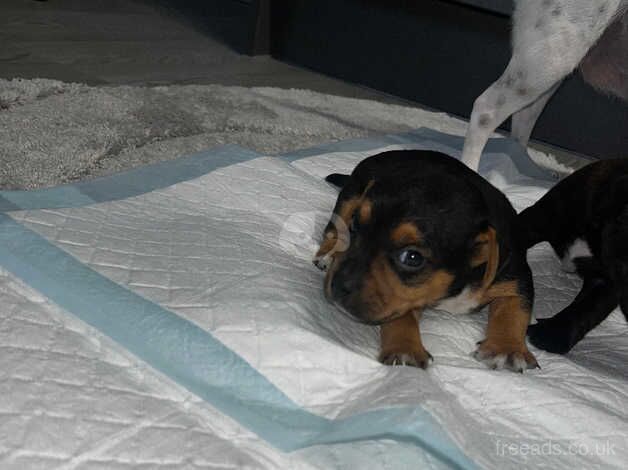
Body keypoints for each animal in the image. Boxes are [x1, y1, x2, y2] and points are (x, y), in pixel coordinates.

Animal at [314, 150, 540, 370]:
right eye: (354, 225)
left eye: (412, 258)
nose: (336, 286)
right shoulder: (402, 300)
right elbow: (401, 314)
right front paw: (405, 348)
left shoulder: (515, 273)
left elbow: (514, 310)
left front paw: (507, 349)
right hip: (350, 195)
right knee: (332, 229)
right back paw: (327, 255)